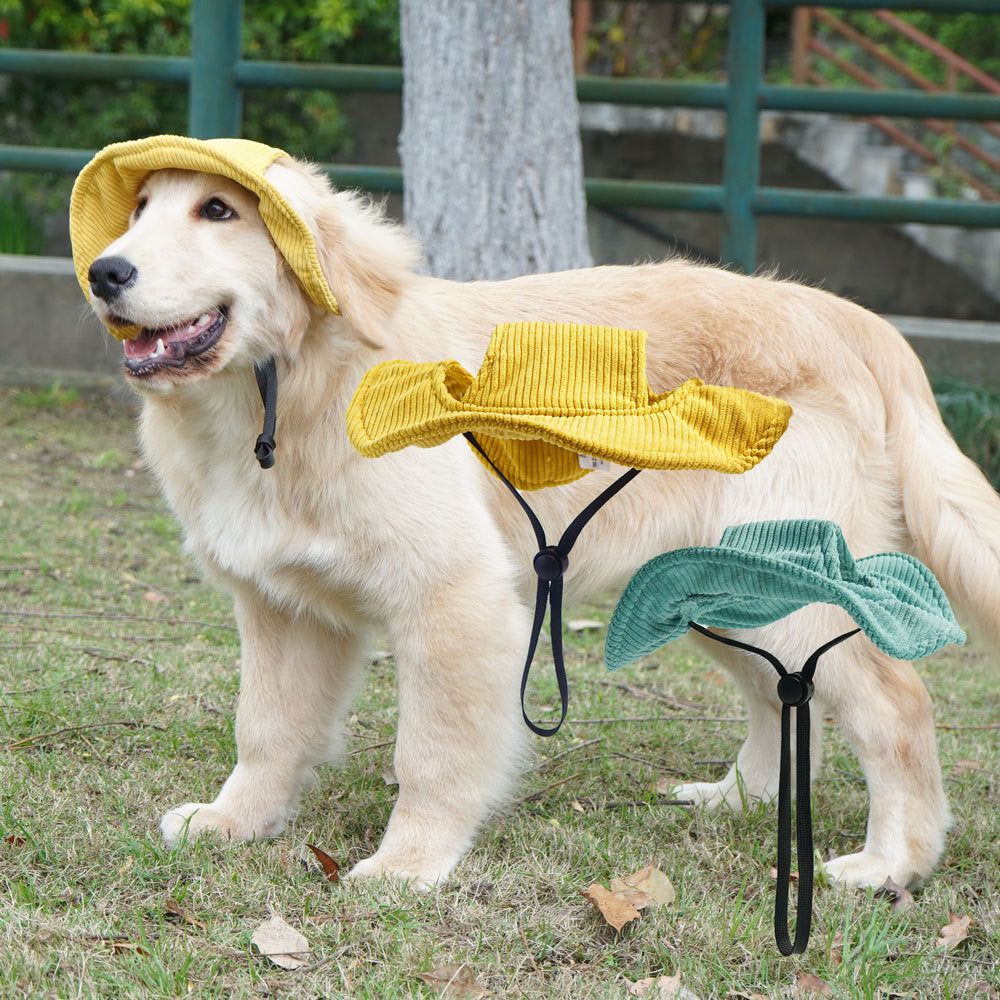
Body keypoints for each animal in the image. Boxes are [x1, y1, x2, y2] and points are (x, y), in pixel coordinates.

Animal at [72, 135, 1000, 892]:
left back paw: (893, 864)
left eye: (218, 210)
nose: (104, 272)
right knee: (781, 693)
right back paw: (736, 800)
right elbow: (265, 727)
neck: (288, 387)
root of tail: (850, 318)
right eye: (141, 209)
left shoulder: (453, 598)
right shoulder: (281, 606)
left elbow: (432, 751)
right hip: (716, 588)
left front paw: (409, 862)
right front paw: (237, 820)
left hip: (783, 585)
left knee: (896, 703)